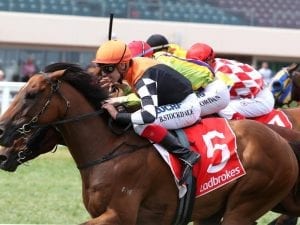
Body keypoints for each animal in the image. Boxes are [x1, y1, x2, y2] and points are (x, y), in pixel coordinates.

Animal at [0, 62, 298, 225]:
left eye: (32, 94)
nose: (2, 136)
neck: (108, 150)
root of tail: (283, 142)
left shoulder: (120, 215)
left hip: (244, 207)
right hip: (212, 213)